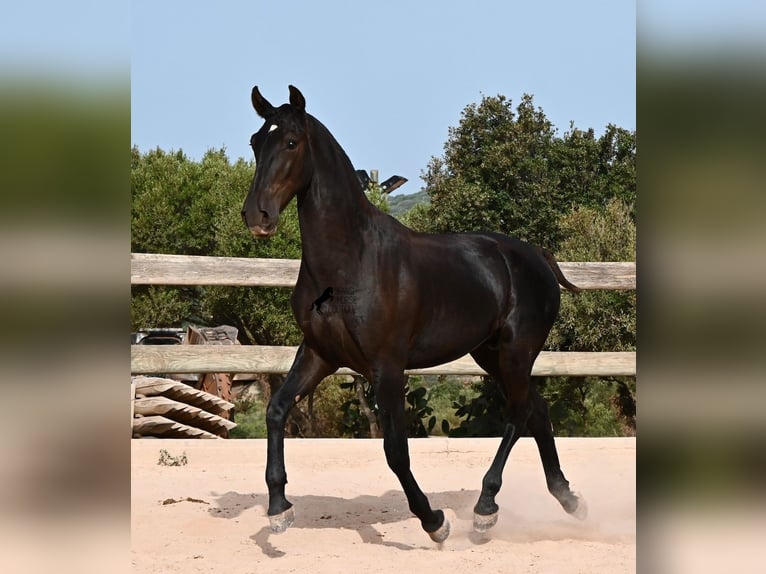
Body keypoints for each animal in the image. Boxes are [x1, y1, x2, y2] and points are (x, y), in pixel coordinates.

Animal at [241, 85, 587, 543]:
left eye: (292, 142)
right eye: (255, 142)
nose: (256, 215)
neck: (350, 261)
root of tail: (536, 256)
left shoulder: (387, 367)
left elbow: (395, 450)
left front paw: (433, 521)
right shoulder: (320, 355)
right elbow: (276, 410)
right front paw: (280, 509)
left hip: (516, 352)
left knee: (518, 413)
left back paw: (485, 508)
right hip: (489, 354)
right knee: (537, 409)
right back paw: (568, 499)